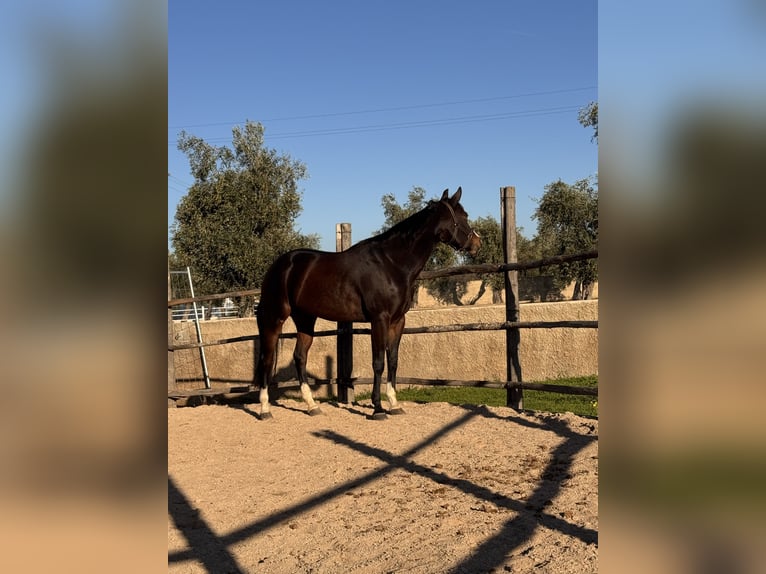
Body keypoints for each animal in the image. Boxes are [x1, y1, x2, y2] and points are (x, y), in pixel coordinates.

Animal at [254, 187, 481, 420]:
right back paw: (265, 409)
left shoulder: (397, 321)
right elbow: (378, 362)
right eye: (463, 216)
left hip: (305, 319)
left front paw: (394, 404)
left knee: (300, 357)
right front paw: (378, 408)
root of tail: (280, 265)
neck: (391, 263)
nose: (476, 244)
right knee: (266, 359)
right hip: (275, 317)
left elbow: (393, 360)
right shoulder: (379, 319)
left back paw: (312, 406)